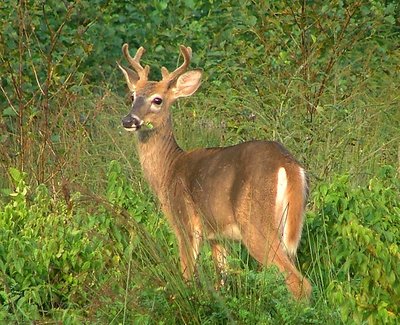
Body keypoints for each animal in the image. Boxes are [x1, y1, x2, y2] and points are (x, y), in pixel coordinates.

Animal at [117, 43, 310, 298]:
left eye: (157, 100)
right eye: (132, 96)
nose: (129, 120)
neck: (168, 170)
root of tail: (287, 164)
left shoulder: (185, 223)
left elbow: (187, 275)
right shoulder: (217, 236)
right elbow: (222, 279)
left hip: (255, 222)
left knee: (298, 281)